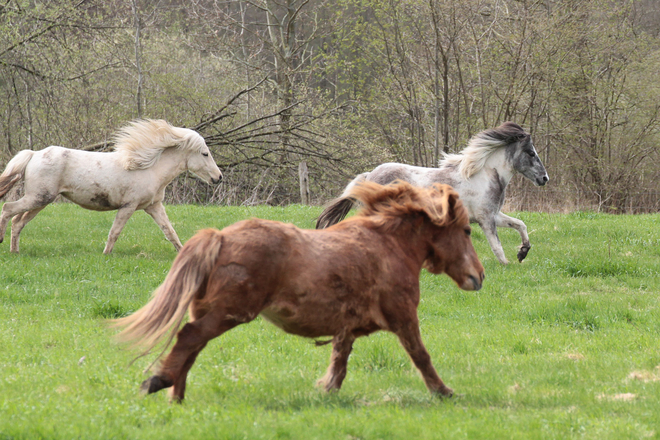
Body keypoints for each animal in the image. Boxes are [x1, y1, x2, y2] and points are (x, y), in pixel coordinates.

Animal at [0, 118, 223, 254]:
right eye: (205, 153)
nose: (218, 177)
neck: (149, 169)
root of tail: (34, 154)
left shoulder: (154, 207)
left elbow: (170, 231)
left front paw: (183, 251)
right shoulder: (128, 206)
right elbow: (115, 231)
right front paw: (106, 254)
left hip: (41, 201)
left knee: (18, 222)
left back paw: (15, 250)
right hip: (38, 198)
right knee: (8, 209)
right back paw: (3, 242)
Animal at [112, 180, 484, 400]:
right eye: (467, 230)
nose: (478, 276)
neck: (389, 246)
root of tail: (221, 237)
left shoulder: (346, 327)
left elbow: (340, 360)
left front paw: (327, 391)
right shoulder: (404, 316)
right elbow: (421, 355)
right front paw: (444, 391)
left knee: (192, 346)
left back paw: (177, 395)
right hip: (229, 312)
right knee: (189, 338)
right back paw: (160, 383)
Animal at [318, 121, 548, 264]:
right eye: (531, 153)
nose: (544, 178)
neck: (484, 177)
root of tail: (370, 175)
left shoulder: (494, 215)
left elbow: (520, 224)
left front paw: (522, 253)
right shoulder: (486, 219)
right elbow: (497, 248)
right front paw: (508, 262)